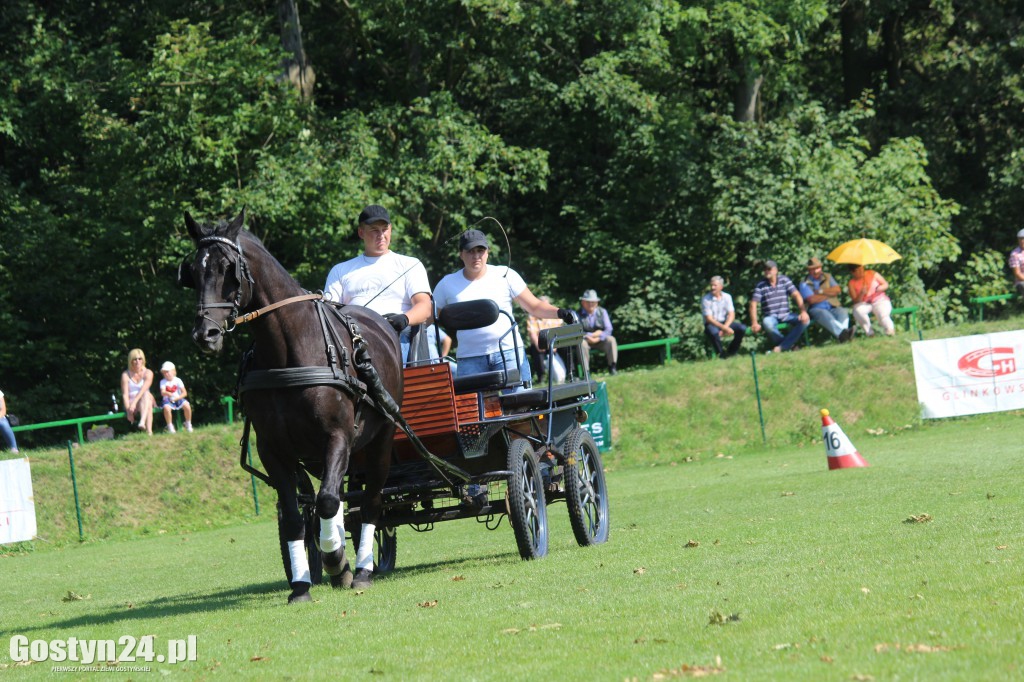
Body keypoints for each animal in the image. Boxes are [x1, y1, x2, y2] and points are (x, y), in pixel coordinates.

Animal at [180, 208, 403, 602]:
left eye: (228, 269)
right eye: (192, 271)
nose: (205, 334)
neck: (288, 351)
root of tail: (383, 323)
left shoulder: (338, 437)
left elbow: (329, 502)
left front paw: (337, 562)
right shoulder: (274, 449)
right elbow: (296, 517)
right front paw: (302, 584)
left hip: (381, 441)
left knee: (372, 503)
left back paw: (362, 568)